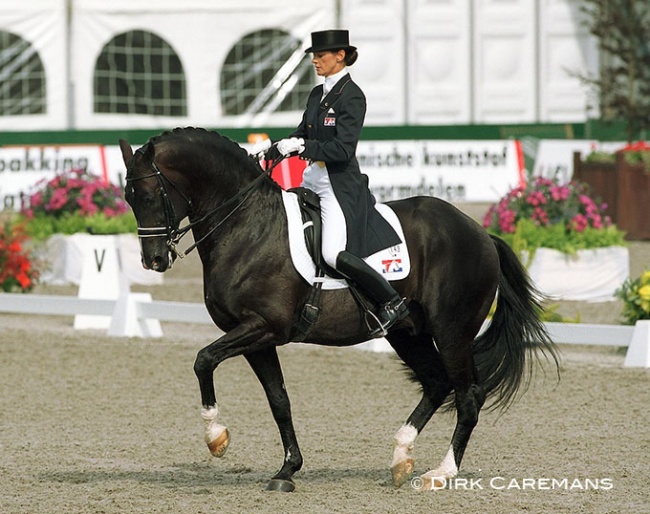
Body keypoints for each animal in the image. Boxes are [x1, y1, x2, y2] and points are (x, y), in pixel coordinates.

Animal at [120, 126, 556, 490]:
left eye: (150, 195)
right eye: (128, 198)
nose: (154, 261)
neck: (247, 225)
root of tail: (479, 231)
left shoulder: (263, 327)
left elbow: (203, 360)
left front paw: (217, 439)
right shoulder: (256, 337)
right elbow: (278, 399)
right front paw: (287, 470)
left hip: (451, 331)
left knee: (468, 394)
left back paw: (441, 473)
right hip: (407, 333)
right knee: (436, 383)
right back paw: (401, 457)